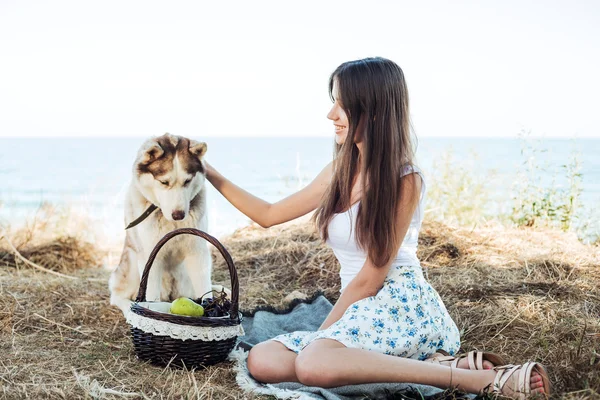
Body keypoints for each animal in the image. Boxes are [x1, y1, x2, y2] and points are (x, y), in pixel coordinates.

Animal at [109, 133, 218, 314]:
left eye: (187, 181)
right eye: (164, 182)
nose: (179, 215)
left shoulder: (197, 253)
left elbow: (204, 288)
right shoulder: (150, 257)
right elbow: (151, 295)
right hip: (131, 263)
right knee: (117, 296)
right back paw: (128, 309)